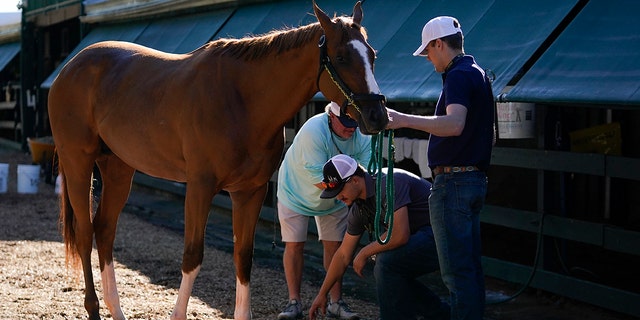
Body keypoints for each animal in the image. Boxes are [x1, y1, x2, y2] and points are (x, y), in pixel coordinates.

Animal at [47, 1, 388, 320]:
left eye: (372, 55)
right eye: (341, 57)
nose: (378, 116)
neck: (241, 99)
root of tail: (70, 67)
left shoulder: (250, 192)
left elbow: (243, 257)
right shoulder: (200, 187)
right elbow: (192, 255)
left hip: (118, 168)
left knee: (105, 229)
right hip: (78, 163)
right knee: (85, 232)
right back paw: (93, 307)